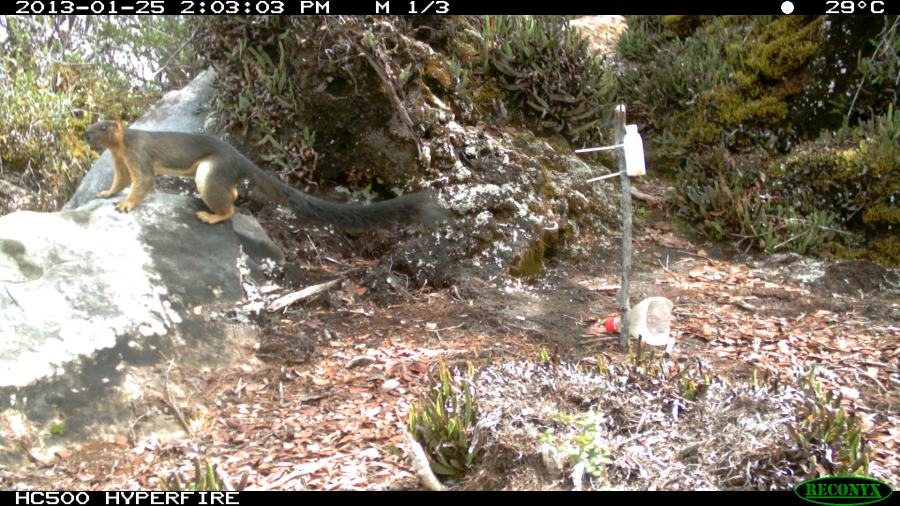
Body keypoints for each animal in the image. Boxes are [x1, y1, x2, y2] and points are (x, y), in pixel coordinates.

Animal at [83, 120, 446, 228]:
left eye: (100, 128)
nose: (86, 136)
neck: (120, 145)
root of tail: (241, 160)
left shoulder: (137, 155)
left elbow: (142, 182)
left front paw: (125, 205)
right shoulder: (120, 161)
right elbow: (120, 181)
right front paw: (106, 193)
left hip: (208, 172)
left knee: (227, 206)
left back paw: (211, 215)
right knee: (232, 193)